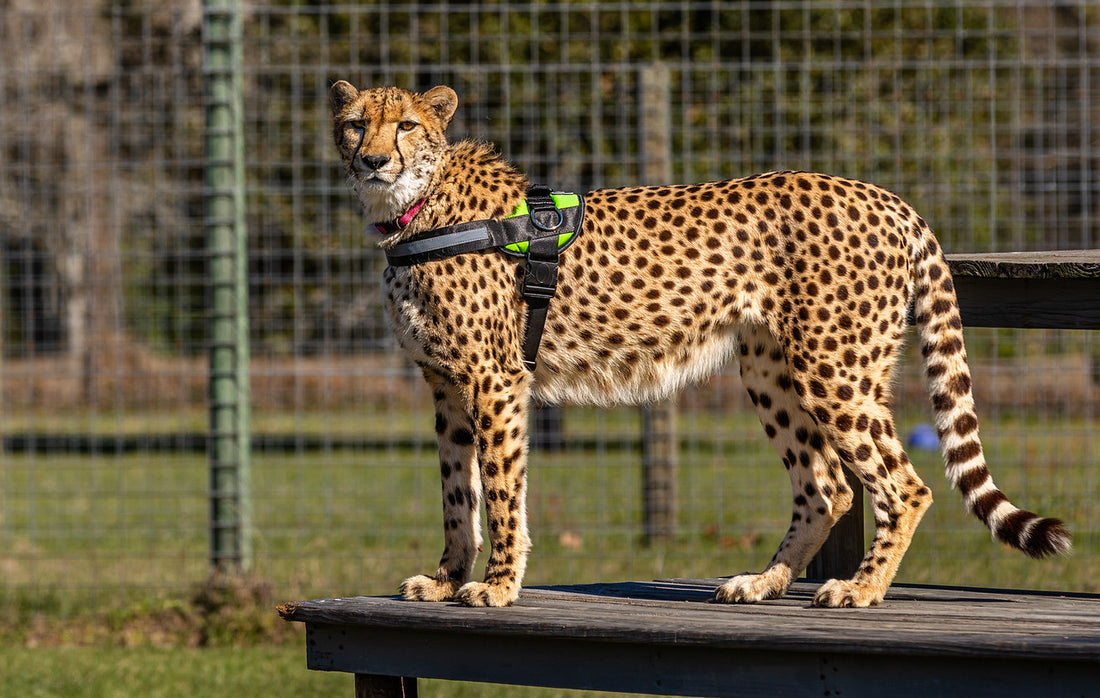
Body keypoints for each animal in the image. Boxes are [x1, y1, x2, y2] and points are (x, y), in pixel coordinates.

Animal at [330, 80, 1069, 606]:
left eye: (406, 125)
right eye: (355, 123)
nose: (373, 160)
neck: (412, 207)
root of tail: (888, 197)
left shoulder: (494, 379)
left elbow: (502, 489)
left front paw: (498, 585)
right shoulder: (446, 386)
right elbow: (457, 494)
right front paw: (446, 579)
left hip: (832, 369)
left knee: (904, 485)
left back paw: (862, 588)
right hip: (772, 370)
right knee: (828, 487)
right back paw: (764, 583)